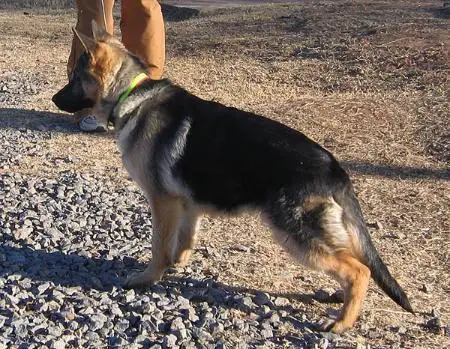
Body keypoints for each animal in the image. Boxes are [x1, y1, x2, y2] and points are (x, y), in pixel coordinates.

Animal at [51, 18, 414, 332]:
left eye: (74, 77)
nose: (53, 98)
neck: (132, 96)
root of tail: (334, 167)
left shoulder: (163, 202)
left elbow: (158, 245)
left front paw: (148, 277)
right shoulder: (187, 204)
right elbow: (184, 240)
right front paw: (176, 264)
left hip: (295, 234)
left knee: (360, 270)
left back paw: (342, 322)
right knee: (352, 261)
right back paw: (340, 298)